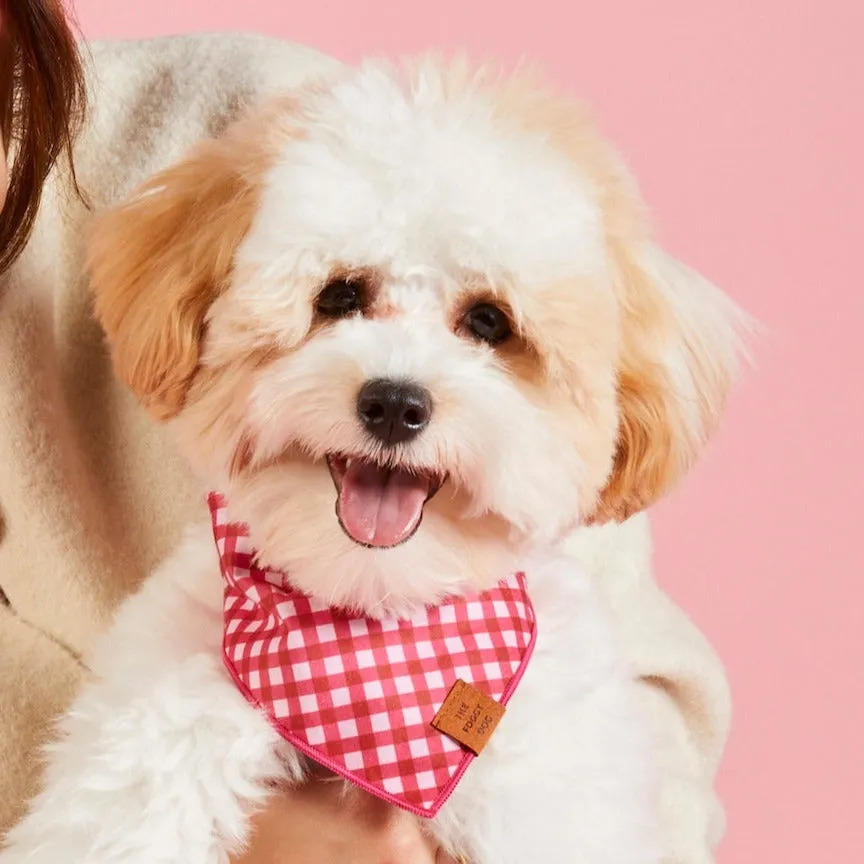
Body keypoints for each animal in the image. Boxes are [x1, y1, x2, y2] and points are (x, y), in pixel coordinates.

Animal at [0, 55, 744, 864]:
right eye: (339, 296)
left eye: (490, 322)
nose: (393, 402)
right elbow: (147, 761)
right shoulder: (173, 663)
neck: (370, 639)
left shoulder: (556, 780)